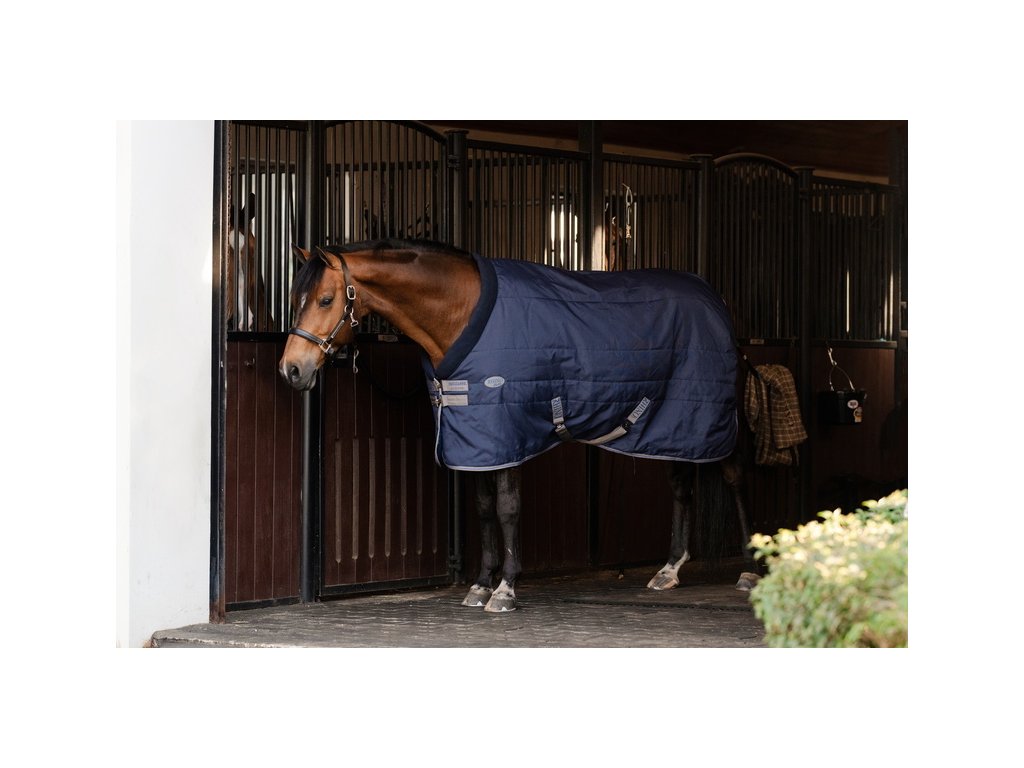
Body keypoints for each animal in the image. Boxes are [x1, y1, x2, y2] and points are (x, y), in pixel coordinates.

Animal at [279, 239, 752, 612]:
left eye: (325, 300)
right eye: (295, 299)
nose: (292, 370)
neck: (461, 311)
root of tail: (717, 303)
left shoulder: (507, 431)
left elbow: (507, 508)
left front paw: (505, 590)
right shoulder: (474, 438)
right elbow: (484, 509)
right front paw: (479, 586)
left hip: (712, 420)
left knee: (733, 478)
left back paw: (748, 571)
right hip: (673, 424)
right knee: (682, 486)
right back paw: (668, 571)